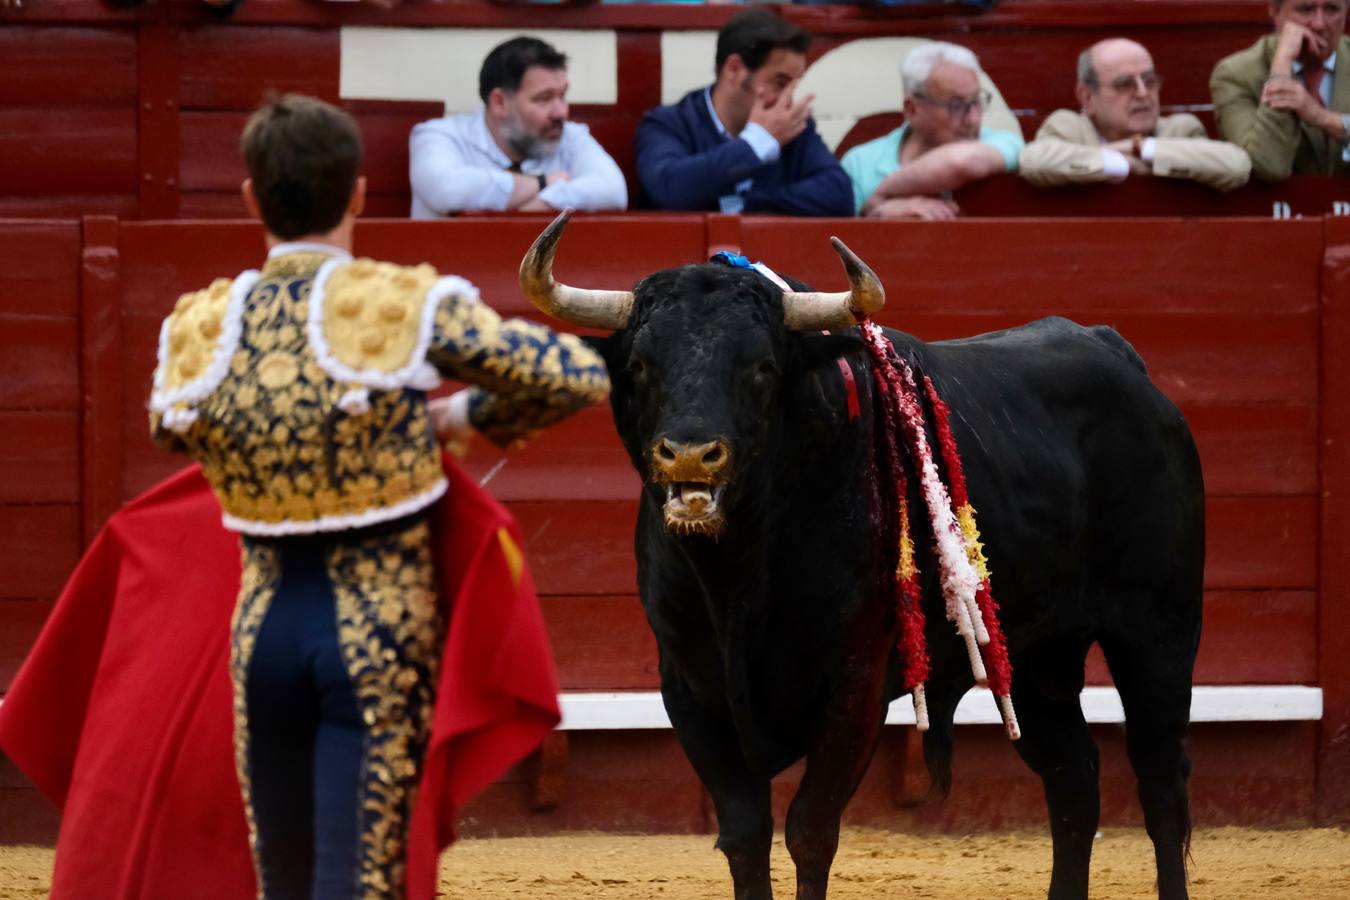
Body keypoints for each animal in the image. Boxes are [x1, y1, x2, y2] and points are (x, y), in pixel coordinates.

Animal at [521, 214, 1209, 895]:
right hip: (1033, 653)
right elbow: (744, 834)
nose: (690, 455)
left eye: (762, 368)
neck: (738, 570)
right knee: (1074, 778)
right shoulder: (688, 687)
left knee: (1160, 785)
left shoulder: (855, 682)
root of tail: (1117, 353)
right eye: (639, 365)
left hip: (1158, 633)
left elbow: (810, 830)